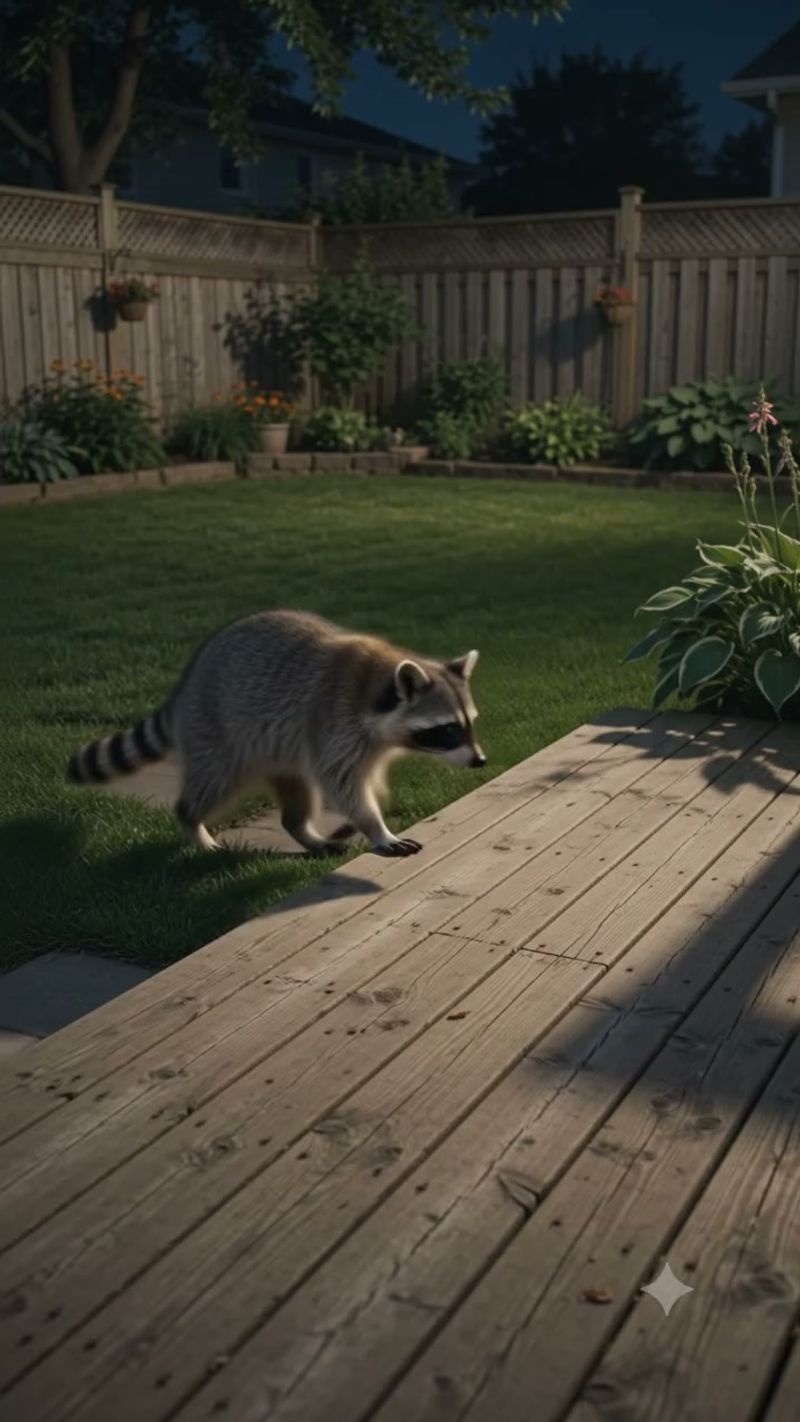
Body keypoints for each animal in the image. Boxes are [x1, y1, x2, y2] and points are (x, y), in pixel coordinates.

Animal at [67, 609, 485, 858]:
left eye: (470, 723)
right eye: (448, 729)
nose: (480, 761)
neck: (377, 682)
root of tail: (187, 683)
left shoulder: (369, 742)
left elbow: (366, 782)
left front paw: (372, 806)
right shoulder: (334, 722)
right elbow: (342, 782)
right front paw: (376, 826)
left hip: (280, 752)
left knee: (298, 797)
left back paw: (303, 831)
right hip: (217, 731)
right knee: (213, 782)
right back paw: (192, 822)